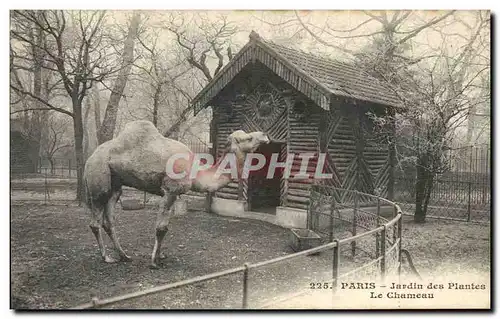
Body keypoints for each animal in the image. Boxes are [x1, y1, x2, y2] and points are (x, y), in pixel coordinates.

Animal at [85, 121, 270, 268]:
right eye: (248, 138)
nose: (265, 135)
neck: (197, 172)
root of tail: (89, 158)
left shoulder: (173, 194)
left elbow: (165, 227)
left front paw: (160, 256)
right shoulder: (170, 190)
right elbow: (161, 228)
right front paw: (154, 262)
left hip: (115, 186)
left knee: (109, 221)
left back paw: (124, 256)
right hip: (99, 179)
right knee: (95, 221)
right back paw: (107, 257)